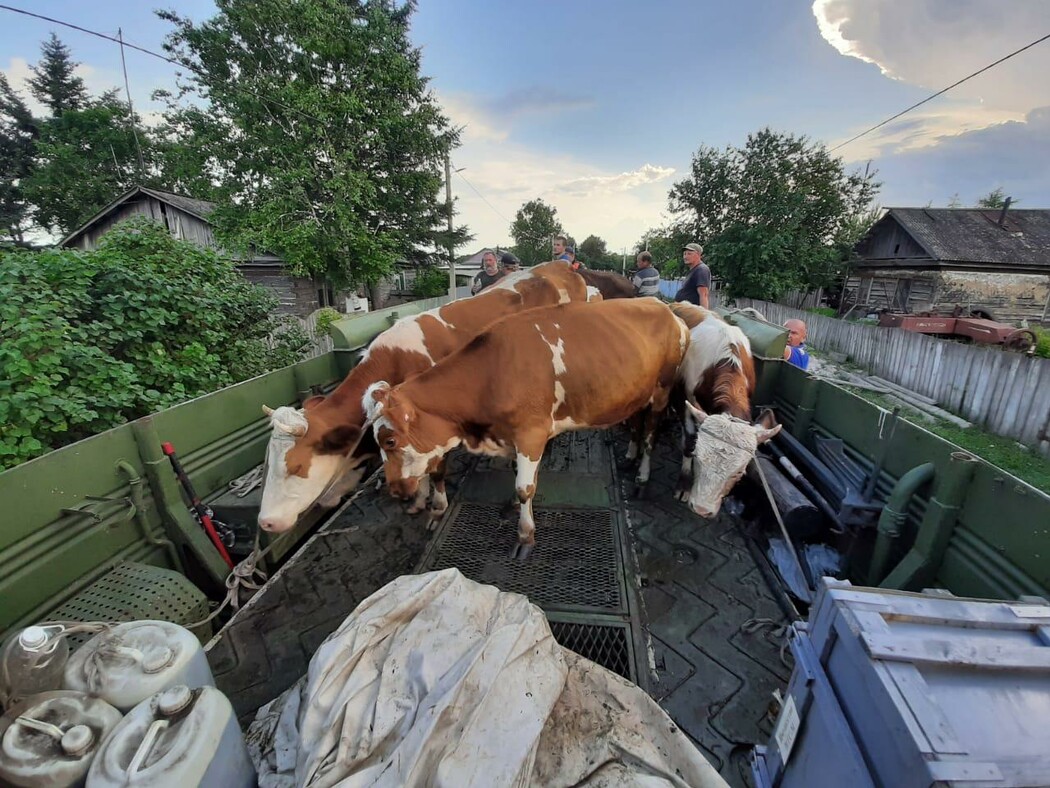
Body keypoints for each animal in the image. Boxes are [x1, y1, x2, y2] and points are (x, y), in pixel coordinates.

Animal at [255, 262, 592, 533]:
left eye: (296, 467)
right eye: (267, 464)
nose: (266, 522)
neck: (395, 362)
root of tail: (561, 267)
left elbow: (436, 468)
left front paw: (437, 506)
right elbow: (416, 464)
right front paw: (419, 499)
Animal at [365, 298, 692, 563]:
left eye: (389, 440)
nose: (395, 490)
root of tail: (665, 307)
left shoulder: (531, 434)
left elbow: (525, 487)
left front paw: (525, 536)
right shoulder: (515, 437)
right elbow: (520, 478)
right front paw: (512, 507)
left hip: (662, 392)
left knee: (650, 435)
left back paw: (642, 476)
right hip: (636, 394)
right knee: (637, 423)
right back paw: (630, 457)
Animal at [672, 302, 781, 519]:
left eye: (739, 472)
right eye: (697, 458)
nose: (702, 509)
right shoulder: (683, 396)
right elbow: (688, 440)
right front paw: (684, 485)